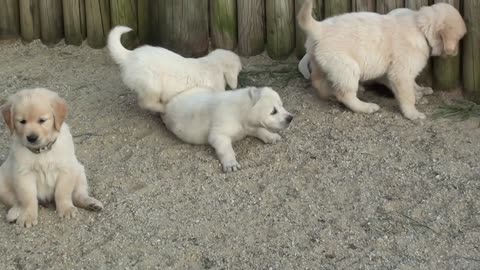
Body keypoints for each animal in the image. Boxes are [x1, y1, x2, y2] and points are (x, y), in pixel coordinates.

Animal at [0, 88, 103, 228]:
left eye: (42, 120)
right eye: (22, 121)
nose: (32, 138)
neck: (42, 151)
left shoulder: (66, 169)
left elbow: (62, 192)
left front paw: (66, 209)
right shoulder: (23, 175)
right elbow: (28, 198)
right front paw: (28, 216)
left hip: (79, 170)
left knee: (78, 195)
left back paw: (91, 203)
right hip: (2, 181)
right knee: (15, 201)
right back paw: (14, 213)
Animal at [161, 86, 292, 172]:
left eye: (282, 105)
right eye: (273, 111)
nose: (290, 118)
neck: (241, 111)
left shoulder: (248, 126)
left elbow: (259, 129)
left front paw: (272, 136)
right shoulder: (219, 133)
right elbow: (225, 148)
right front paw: (231, 164)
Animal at [298, 0, 466, 119]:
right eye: (458, 40)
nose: (456, 52)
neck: (420, 28)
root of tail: (320, 28)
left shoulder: (394, 72)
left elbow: (412, 85)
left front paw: (420, 91)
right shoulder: (401, 72)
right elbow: (407, 94)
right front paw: (413, 113)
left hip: (322, 63)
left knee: (319, 83)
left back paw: (332, 94)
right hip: (347, 66)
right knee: (345, 94)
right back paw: (366, 107)